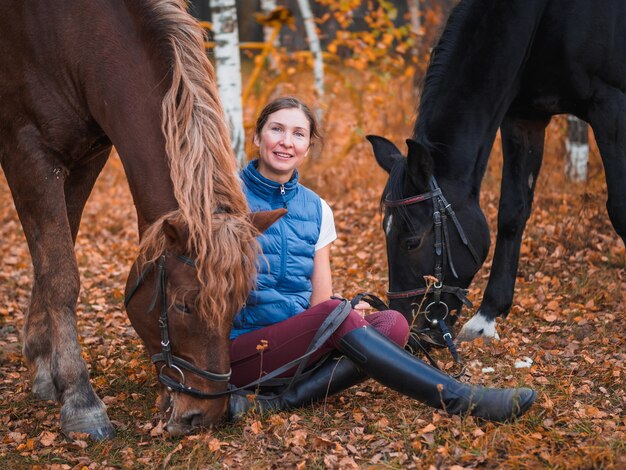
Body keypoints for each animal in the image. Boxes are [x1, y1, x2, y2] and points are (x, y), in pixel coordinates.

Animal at [0, 0, 270, 440]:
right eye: (184, 306)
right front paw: (80, 400)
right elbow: (61, 275)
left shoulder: (86, 157)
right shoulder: (27, 152)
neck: (71, 36)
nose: (206, 415)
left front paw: (42, 366)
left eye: (239, 303)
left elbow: (52, 255)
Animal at [368, 0, 620, 346]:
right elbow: (512, 213)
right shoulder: (524, 117)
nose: (411, 332)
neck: (544, 16)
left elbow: (619, 210)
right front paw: (487, 317)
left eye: (412, 242)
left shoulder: (611, 104)